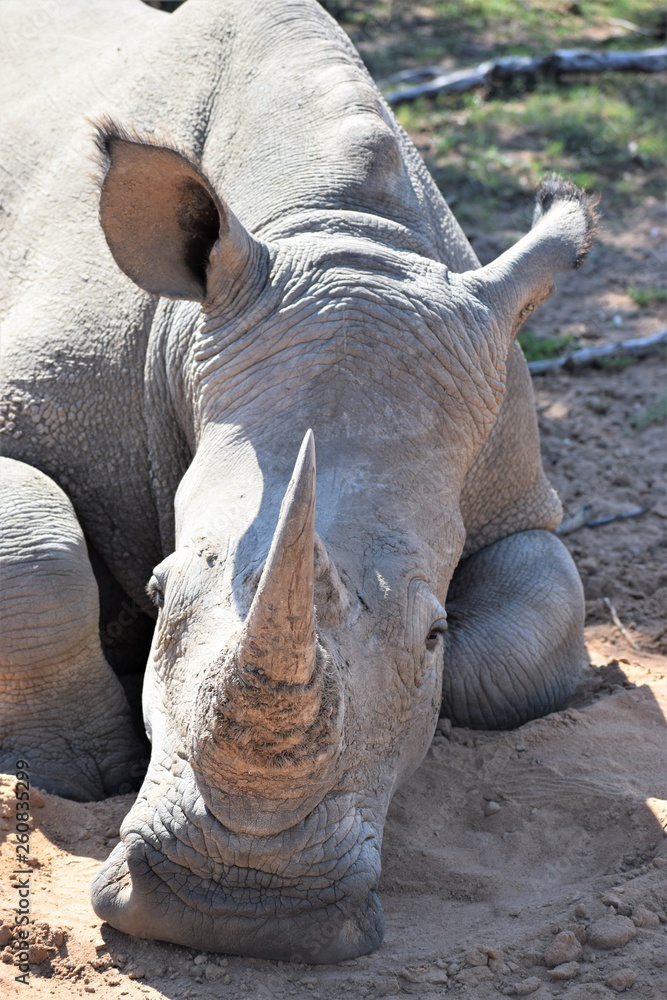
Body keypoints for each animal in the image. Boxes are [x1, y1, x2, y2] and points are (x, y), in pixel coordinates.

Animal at [0, 0, 594, 963]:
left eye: (434, 633)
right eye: (162, 593)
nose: (234, 901)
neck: (336, 231)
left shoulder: (514, 492)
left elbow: (528, 630)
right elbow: (37, 560)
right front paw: (71, 769)